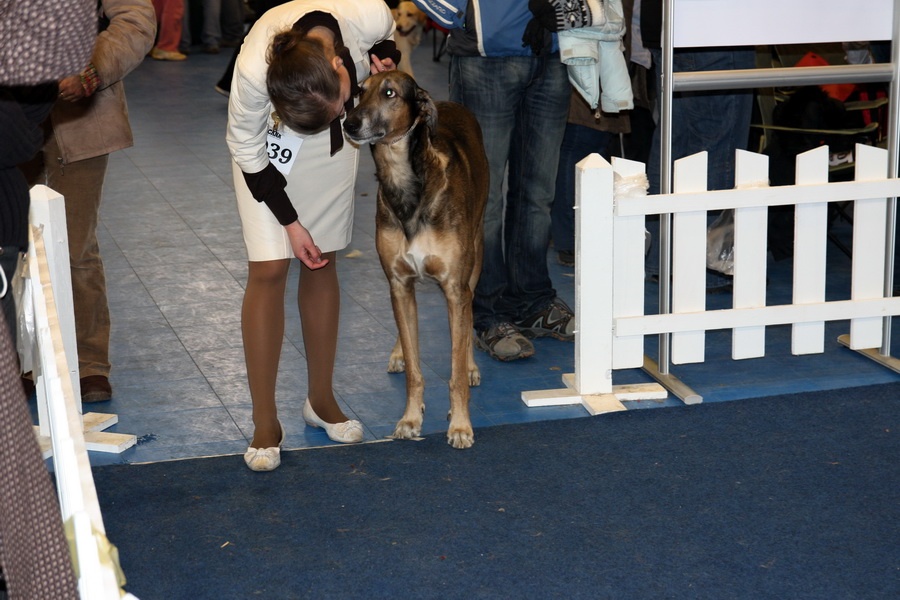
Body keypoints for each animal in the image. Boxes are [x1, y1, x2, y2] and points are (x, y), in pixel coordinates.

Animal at [344, 70, 488, 448]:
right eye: (360, 91)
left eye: (390, 93)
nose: (350, 123)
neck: (406, 186)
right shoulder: (399, 283)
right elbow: (414, 368)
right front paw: (410, 419)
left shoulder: (453, 287)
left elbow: (455, 369)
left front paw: (461, 425)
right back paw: (398, 352)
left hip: (475, 257)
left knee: (470, 309)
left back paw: (471, 365)